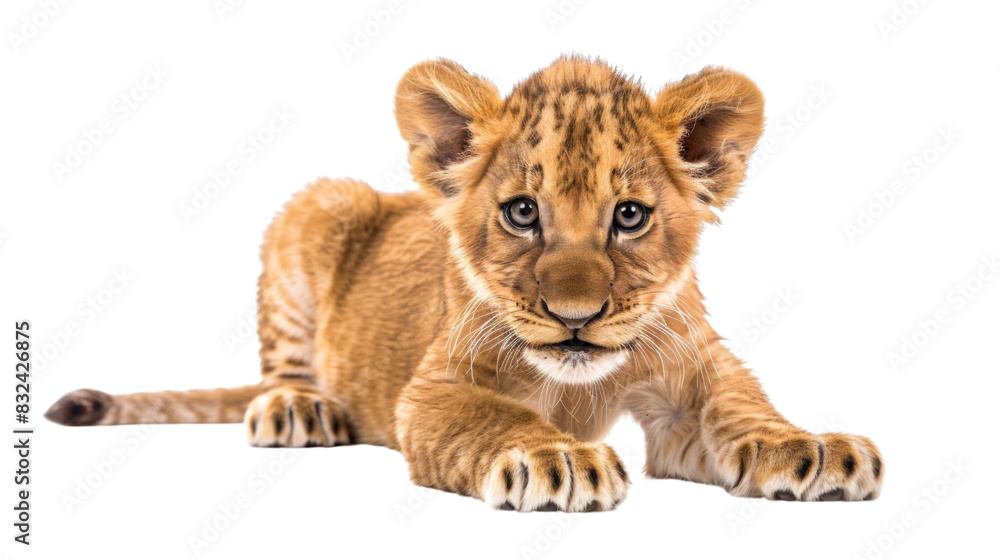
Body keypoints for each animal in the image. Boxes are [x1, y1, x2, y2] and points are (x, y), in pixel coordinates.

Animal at [46, 56, 883, 511]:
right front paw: (557, 460)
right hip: (320, 204)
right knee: (280, 368)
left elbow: (743, 405)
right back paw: (298, 409)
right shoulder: (434, 388)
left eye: (629, 216)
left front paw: (811, 448)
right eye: (521, 212)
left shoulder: (688, 373)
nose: (575, 315)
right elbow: (493, 417)